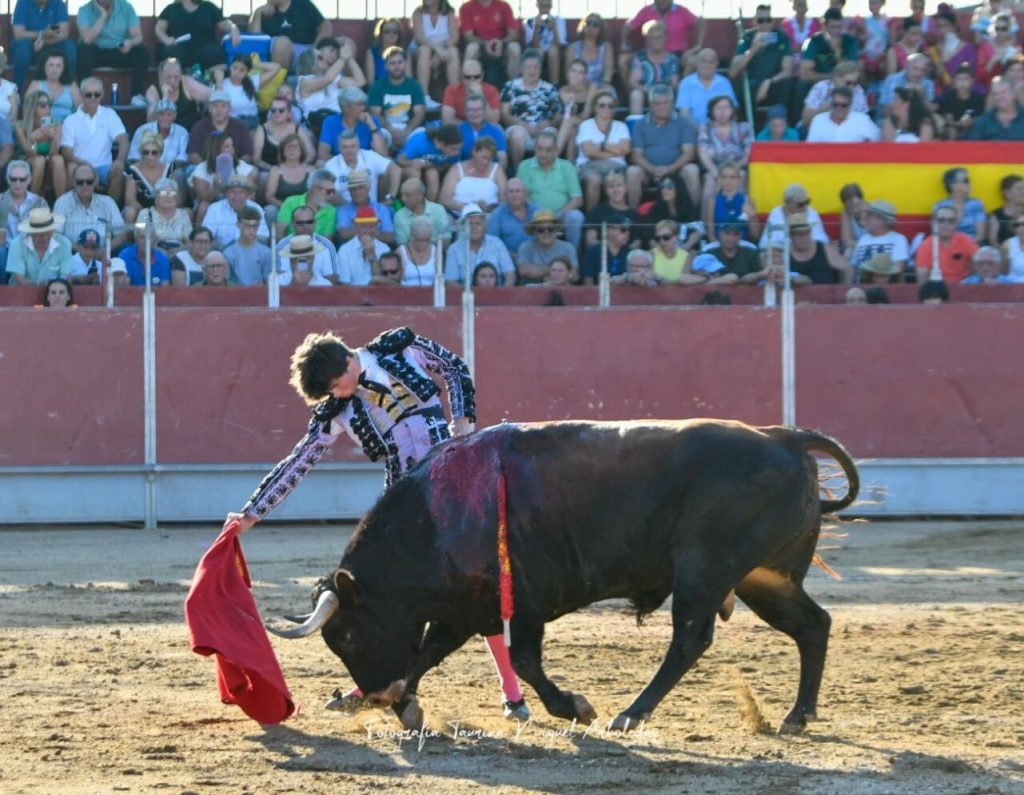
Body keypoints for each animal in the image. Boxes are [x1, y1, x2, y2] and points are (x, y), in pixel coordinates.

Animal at [270, 420, 856, 737]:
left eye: (347, 635)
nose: (376, 693)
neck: (441, 515)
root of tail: (783, 437)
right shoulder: (466, 608)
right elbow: (427, 652)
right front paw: (407, 707)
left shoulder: (521, 604)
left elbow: (523, 659)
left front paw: (575, 707)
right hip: (765, 577)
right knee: (813, 626)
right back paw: (797, 716)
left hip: (704, 570)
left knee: (690, 639)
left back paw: (629, 715)